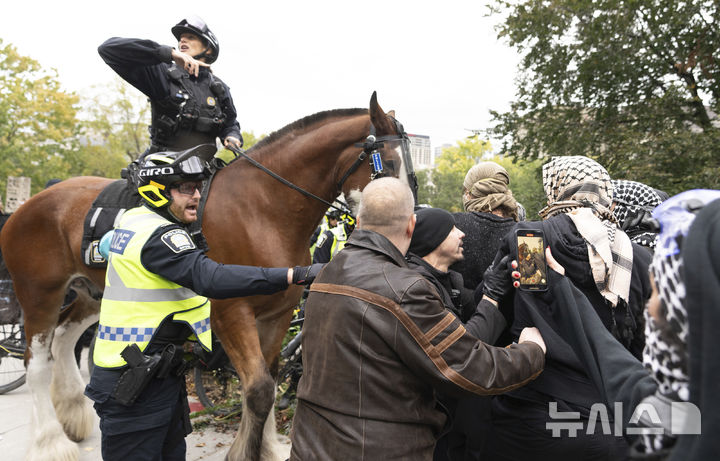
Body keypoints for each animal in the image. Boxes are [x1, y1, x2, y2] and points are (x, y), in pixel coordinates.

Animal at [0, 91, 408, 458]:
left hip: (91, 295)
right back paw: (51, 443)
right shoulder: (231, 313)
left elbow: (269, 377)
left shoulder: (275, 316)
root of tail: (27, 206)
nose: (405, 225)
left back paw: (73, 414)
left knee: (63, 340)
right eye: (386, 165)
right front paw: (245, 452)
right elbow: (258, 388)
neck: (262, 209)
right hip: (40, 295)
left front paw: (266, 448)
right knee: (37, 363)